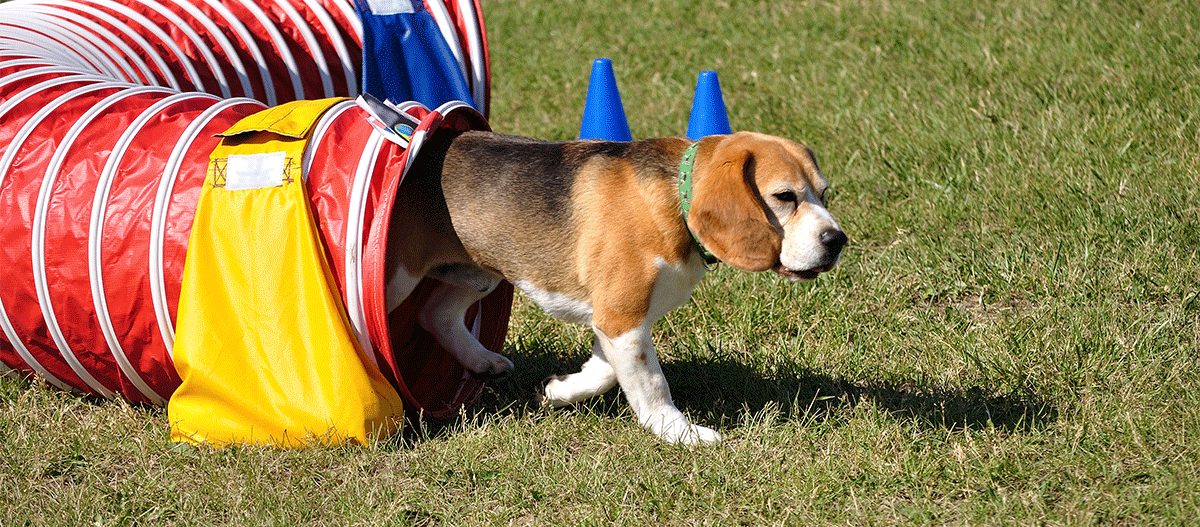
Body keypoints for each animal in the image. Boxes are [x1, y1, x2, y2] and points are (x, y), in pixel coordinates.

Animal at [386, 130, 844, 444]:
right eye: (784, 196)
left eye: (824, 194)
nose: (838, 240)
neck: (674, 197)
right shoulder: (622, 317)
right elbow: (652, 382)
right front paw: (679, 432)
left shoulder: (617, 320)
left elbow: (607, 372)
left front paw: (560, 391)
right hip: (402, 277)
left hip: (481, 272)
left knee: (435, 313)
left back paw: (483, 361)